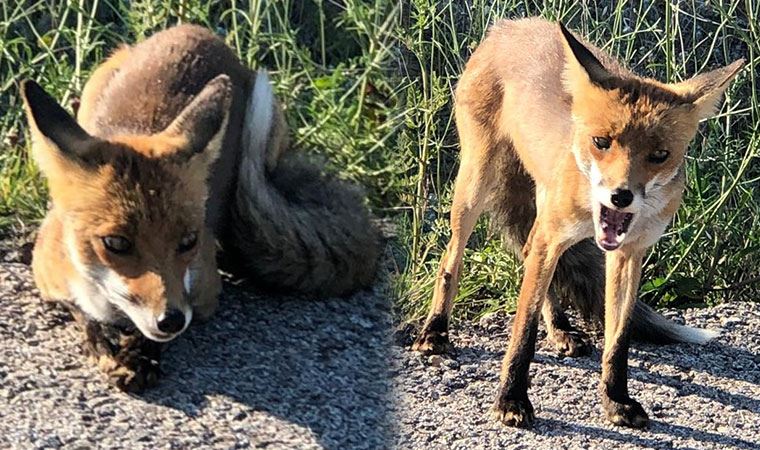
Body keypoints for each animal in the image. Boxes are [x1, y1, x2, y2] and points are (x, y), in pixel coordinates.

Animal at [22, 23, 378, 390]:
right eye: (116, 243)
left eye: (188, 241)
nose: (170, 319)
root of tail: (193, 29)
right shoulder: (49, 277)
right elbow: (82, 313)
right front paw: (104, 340)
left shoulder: (204, 295)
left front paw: (141, 353)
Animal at [416, 16, 744, 426]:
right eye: (601, 142)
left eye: (660, 155)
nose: (621, 196)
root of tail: (511, 24)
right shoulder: (554, 234)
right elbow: (522, 333)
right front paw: (511, 400)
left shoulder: (628, 253)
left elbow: (618, 340)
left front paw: (616, 400)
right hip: (476, 184)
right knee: (452, 259)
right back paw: (435, 331)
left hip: (539, 202)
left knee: (529, 253)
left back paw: (560, 330)